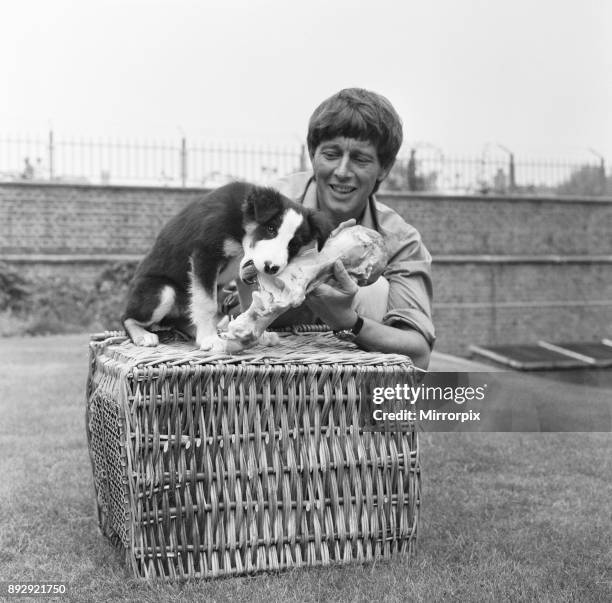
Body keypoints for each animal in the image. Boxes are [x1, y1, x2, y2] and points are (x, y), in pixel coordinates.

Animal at [123, 179, 330, 350]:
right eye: (271, 229)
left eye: (293, 244)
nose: (271, 268)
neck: (240, 223)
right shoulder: (205, 256)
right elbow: (207, 303)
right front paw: (208, 339)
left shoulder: (245, 272)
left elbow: (251, 303)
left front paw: (255, 333)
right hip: (163, 291)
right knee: (126, 318)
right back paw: (143, 336)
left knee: (183, 320)